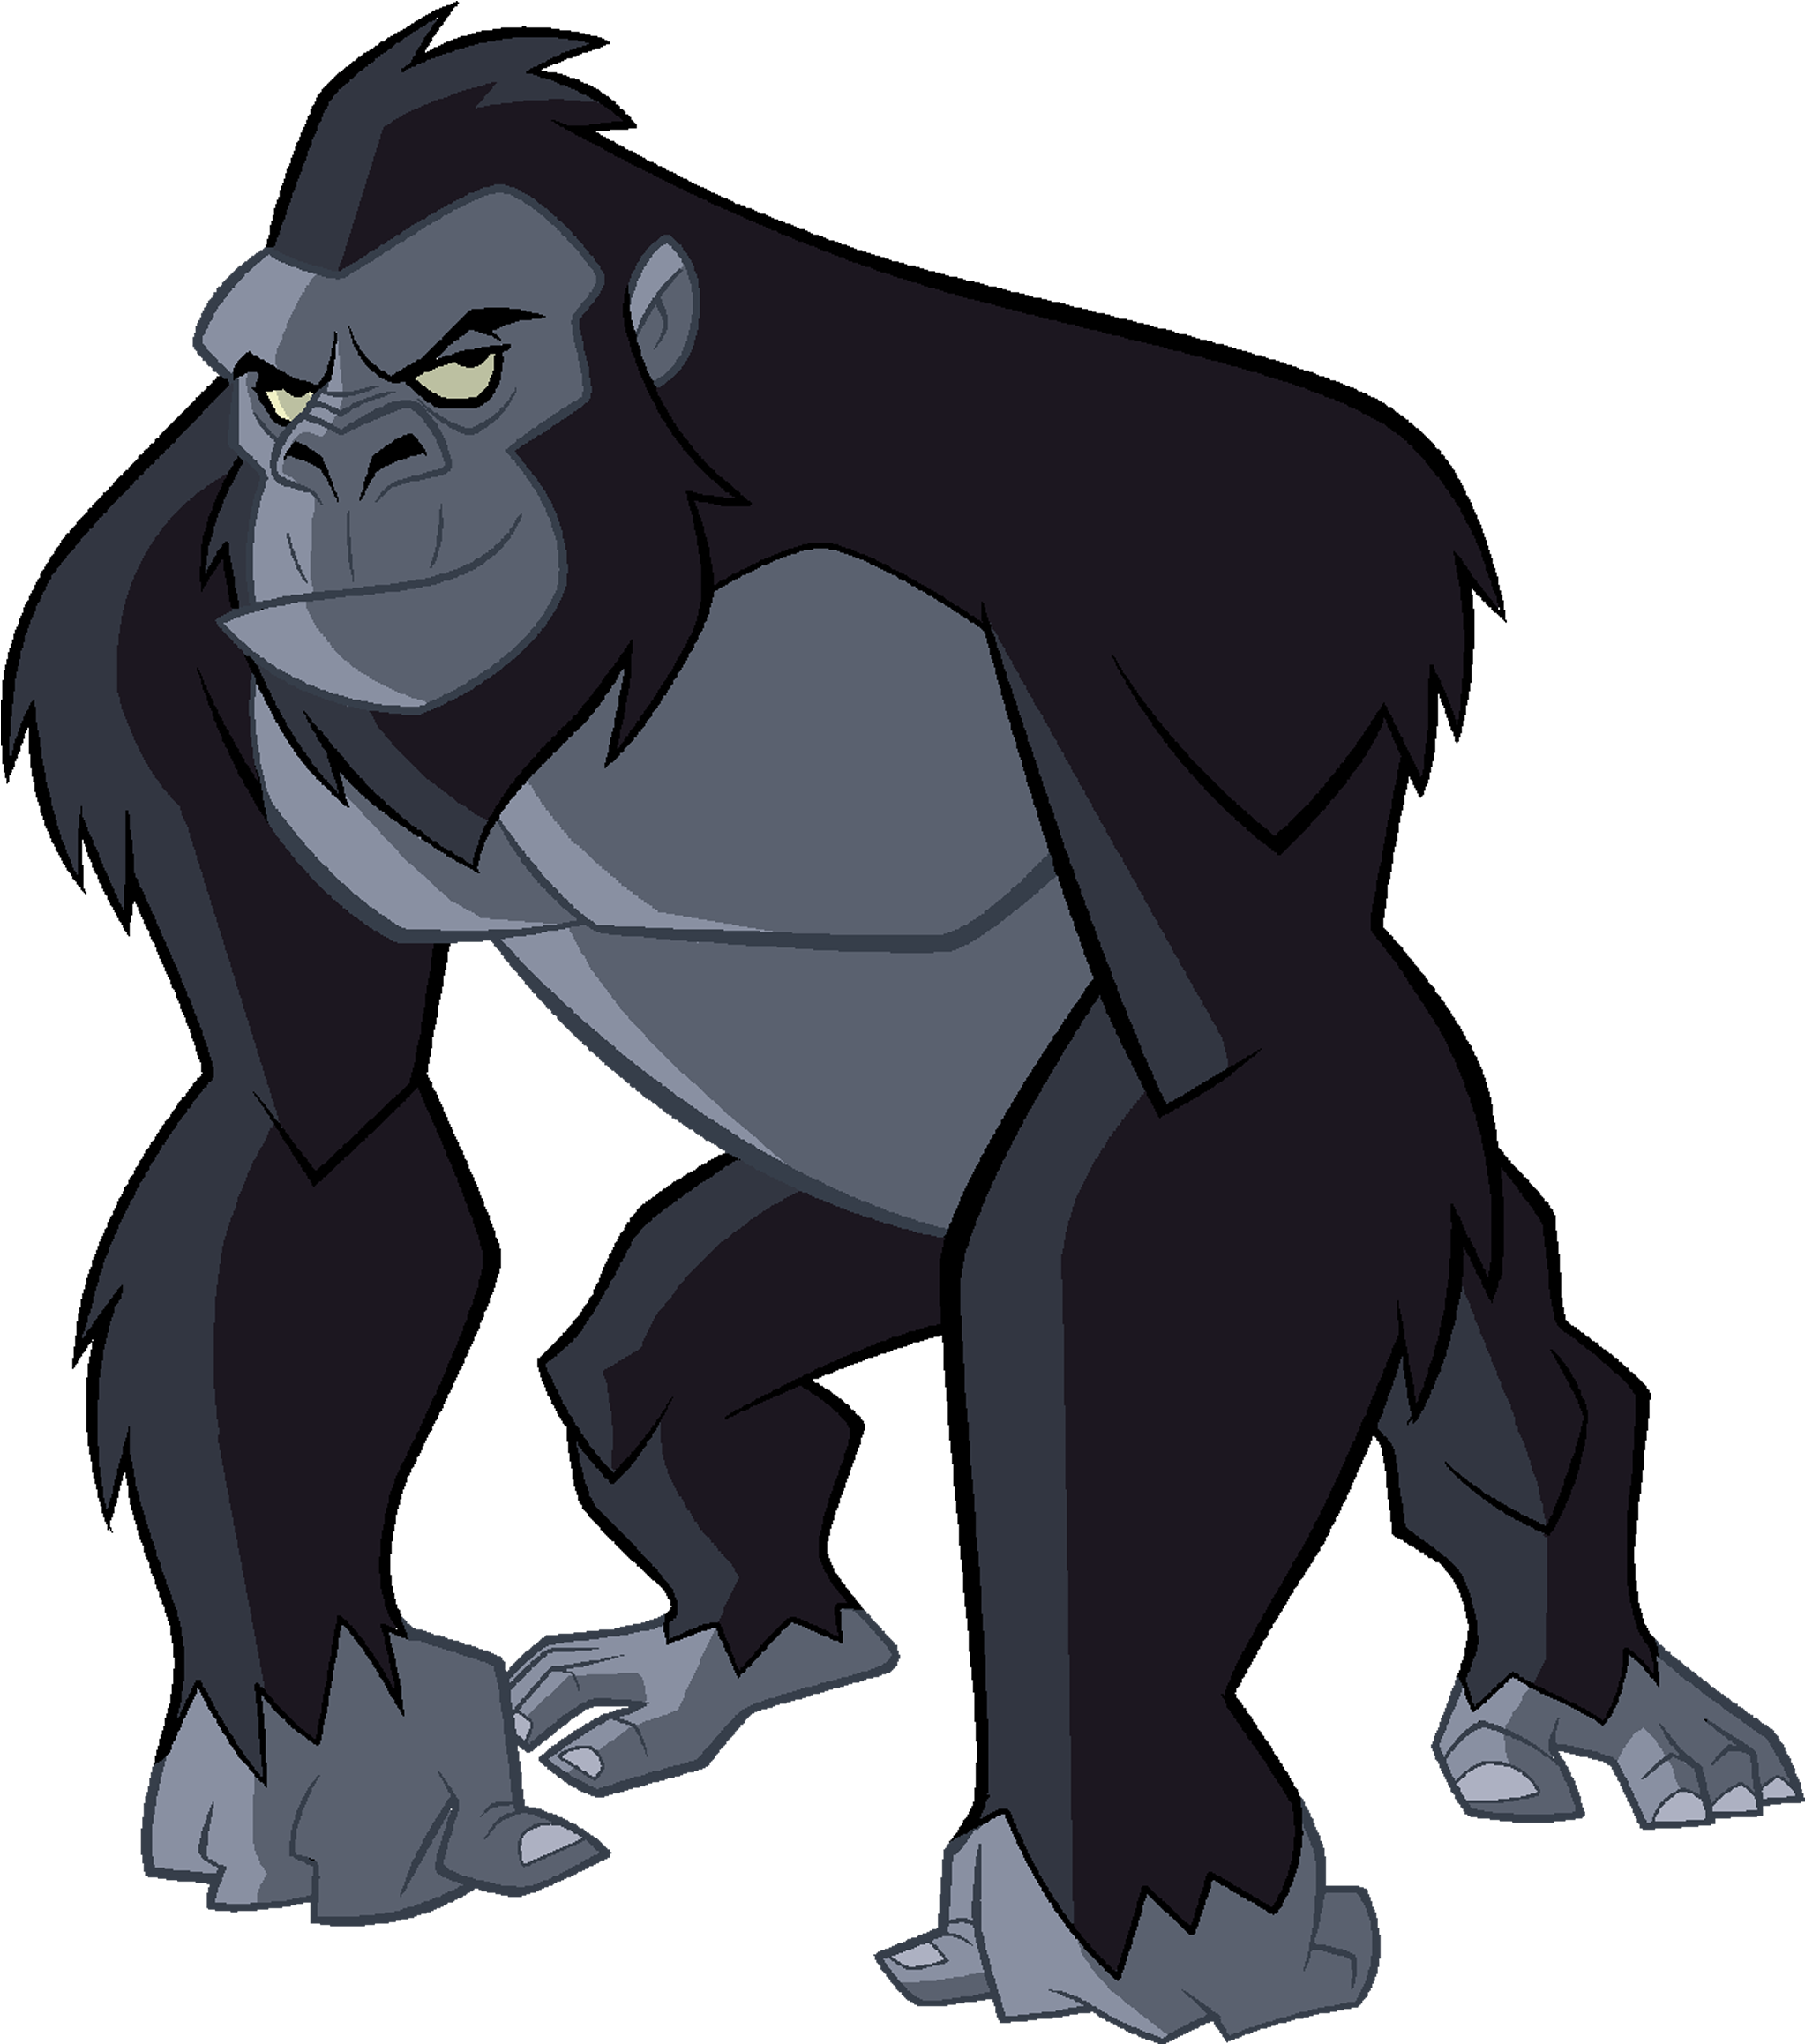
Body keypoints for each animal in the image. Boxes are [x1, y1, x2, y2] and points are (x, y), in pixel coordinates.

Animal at [9, 22, 1794, 2037]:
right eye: (279, 385)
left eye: (465, 361)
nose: (341, 456)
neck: (648, 597)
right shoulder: (167, 656)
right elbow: (317, 1127)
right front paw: (343, 1778)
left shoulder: (1183, 604)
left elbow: (1200, 1147)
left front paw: (1137, 1904)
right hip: (860, 1235)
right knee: (648, 1376)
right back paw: (738, 1644)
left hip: (1404, 1147)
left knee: (1460, 1348)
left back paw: (1579, 1677)